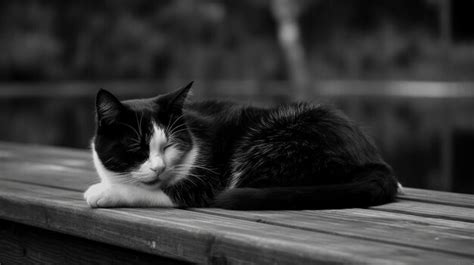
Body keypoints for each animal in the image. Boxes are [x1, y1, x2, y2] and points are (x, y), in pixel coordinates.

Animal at [83, 81, 402, 209]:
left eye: (169, 145)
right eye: (136, 146)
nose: (159, 167)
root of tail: (373, 159)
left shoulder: (205, 182)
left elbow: (157, 192)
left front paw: (102, 192)